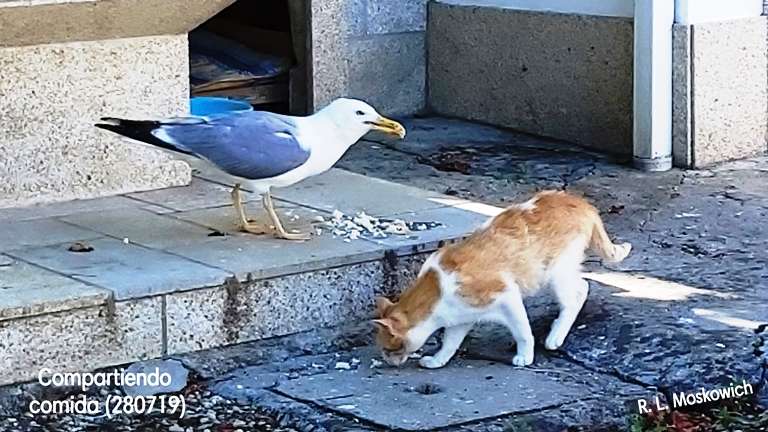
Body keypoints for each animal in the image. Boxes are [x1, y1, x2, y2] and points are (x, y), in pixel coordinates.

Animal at [372, 192, 632, 368]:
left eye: (387, 348)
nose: (386, 359)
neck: (437, 291)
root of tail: (578, 200)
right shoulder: (461, 318)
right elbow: (449, 343)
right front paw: (438, 360)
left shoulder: (507, 296)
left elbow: (523, 332)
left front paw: (525, 356)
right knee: (583, 286)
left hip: (555, 273)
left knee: (576, 295)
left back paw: (555, 336)